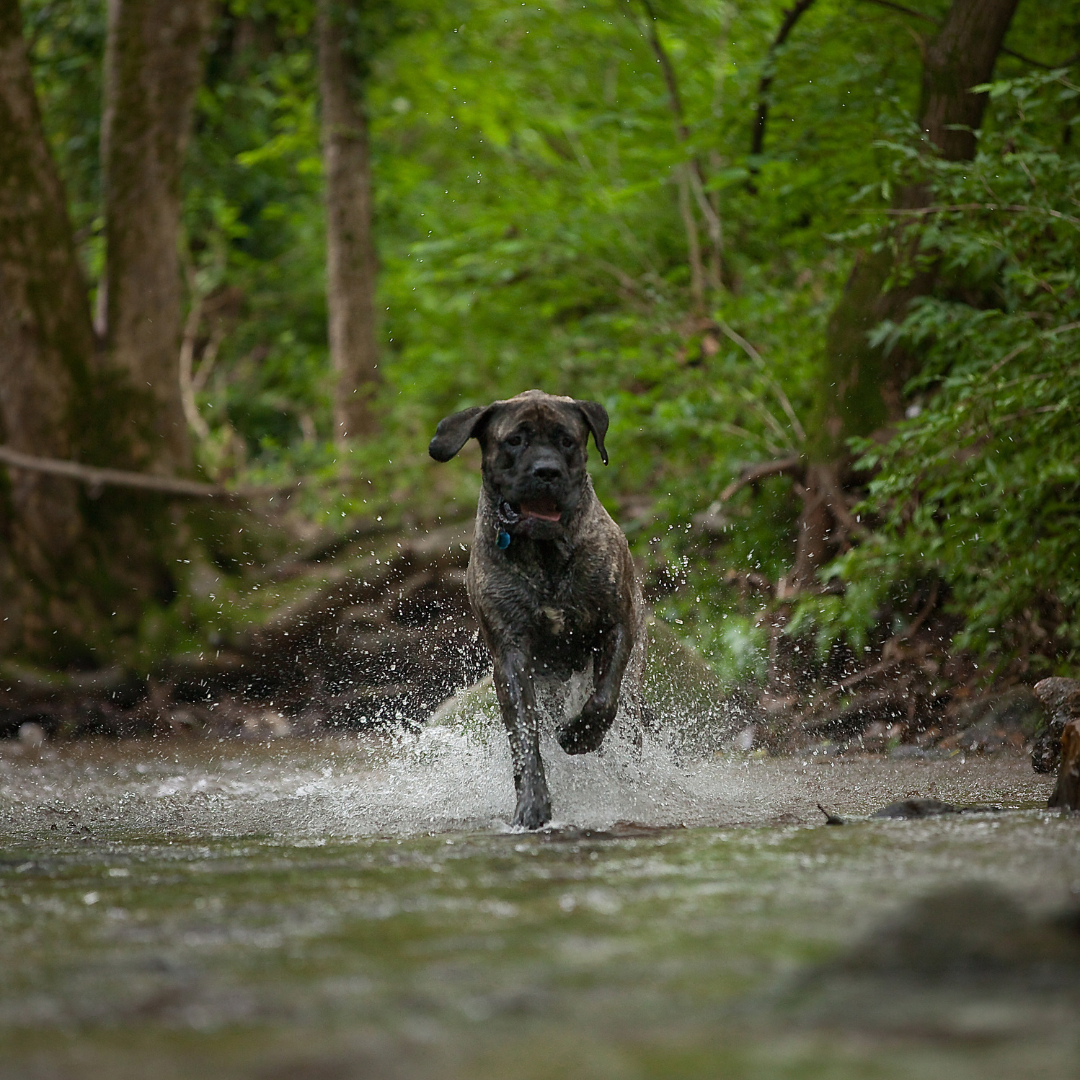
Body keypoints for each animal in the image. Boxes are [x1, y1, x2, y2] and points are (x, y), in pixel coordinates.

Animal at [427, 393, 643, 829]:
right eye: (515, 440)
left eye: (566, 440)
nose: (546, 471)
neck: (545, 554)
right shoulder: (511, 655)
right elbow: (525, 737)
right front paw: (532, 804)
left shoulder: (616, 625)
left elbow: (603, 700)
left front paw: (578, 736)